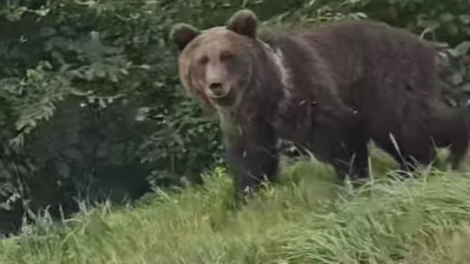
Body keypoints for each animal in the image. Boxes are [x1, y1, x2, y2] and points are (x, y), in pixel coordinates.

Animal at [170, 8, 470, 200]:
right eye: (202, 60)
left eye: (227, 55)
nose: (216, 85)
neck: (266, 93)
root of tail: (423, 45)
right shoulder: (246, 120)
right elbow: (251, 157)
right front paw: (247, 196)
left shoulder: (306, 89)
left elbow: (340, 134)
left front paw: (352, 182)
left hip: (387, 80)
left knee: (409, 124)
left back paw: (446, 155)